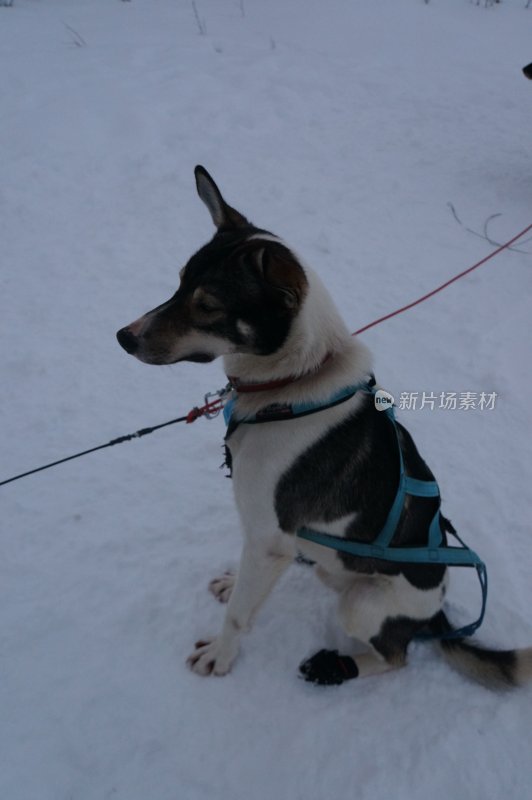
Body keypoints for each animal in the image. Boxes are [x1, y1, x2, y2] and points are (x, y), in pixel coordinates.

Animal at [117, 167, 532, 688]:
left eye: (207, 305)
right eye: (178, 284)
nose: (124, 337)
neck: (288, 388)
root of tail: (437, 615)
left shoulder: (267, 540)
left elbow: (239, 614)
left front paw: (221, 654)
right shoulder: (265, 536)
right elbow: (246, 584)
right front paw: (235, 583)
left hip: (361, 604)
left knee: (396, 657)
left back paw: (337, 665)